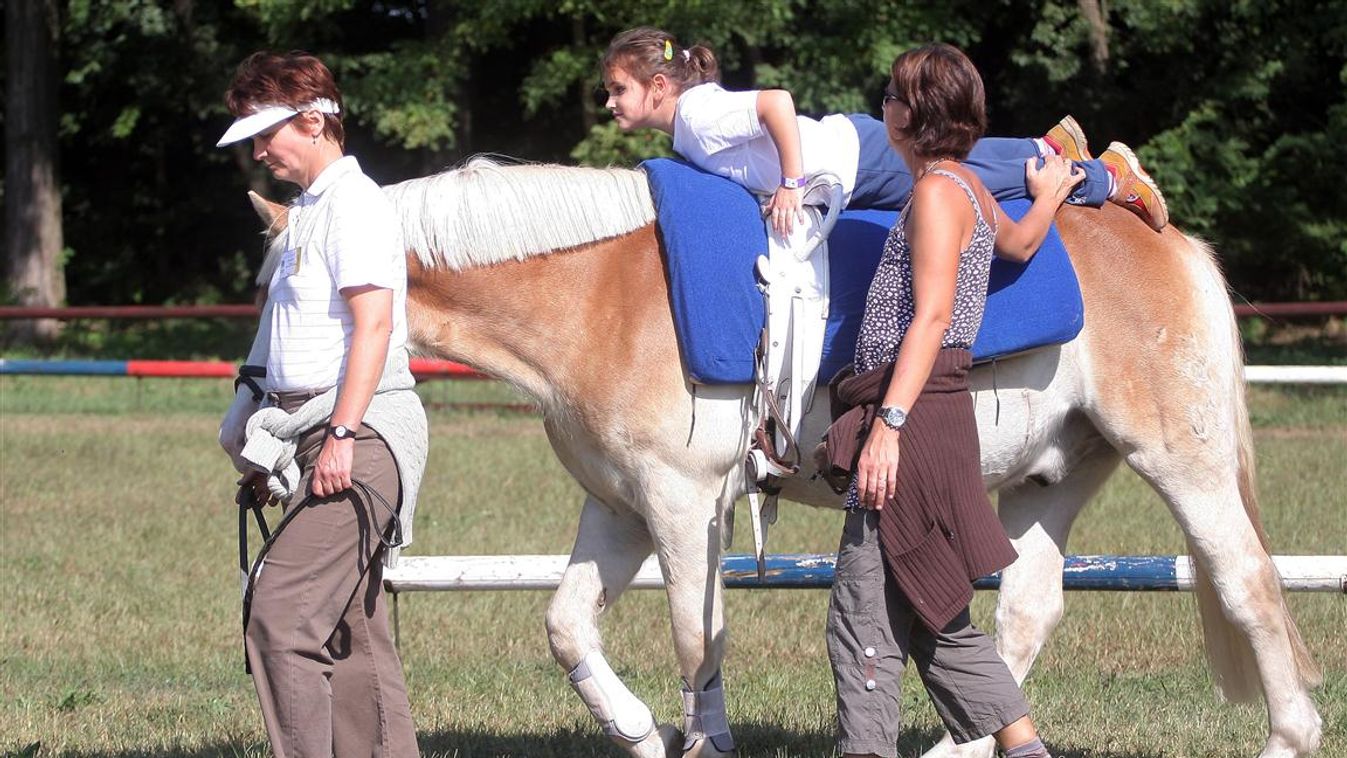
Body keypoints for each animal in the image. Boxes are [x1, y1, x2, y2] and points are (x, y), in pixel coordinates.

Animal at [228, 157, 1314, 753]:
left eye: (296, 291)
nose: (246, 439)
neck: (601, 294)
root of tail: (1161, 237)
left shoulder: (681, 506)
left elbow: (693, 642)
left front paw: (696, 741)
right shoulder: (618, 508)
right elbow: (569, 628)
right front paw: (640, 734)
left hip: (1183, 463)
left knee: (1251, 587)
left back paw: (1288, 735)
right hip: (1056, 474)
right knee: (1027, 613)